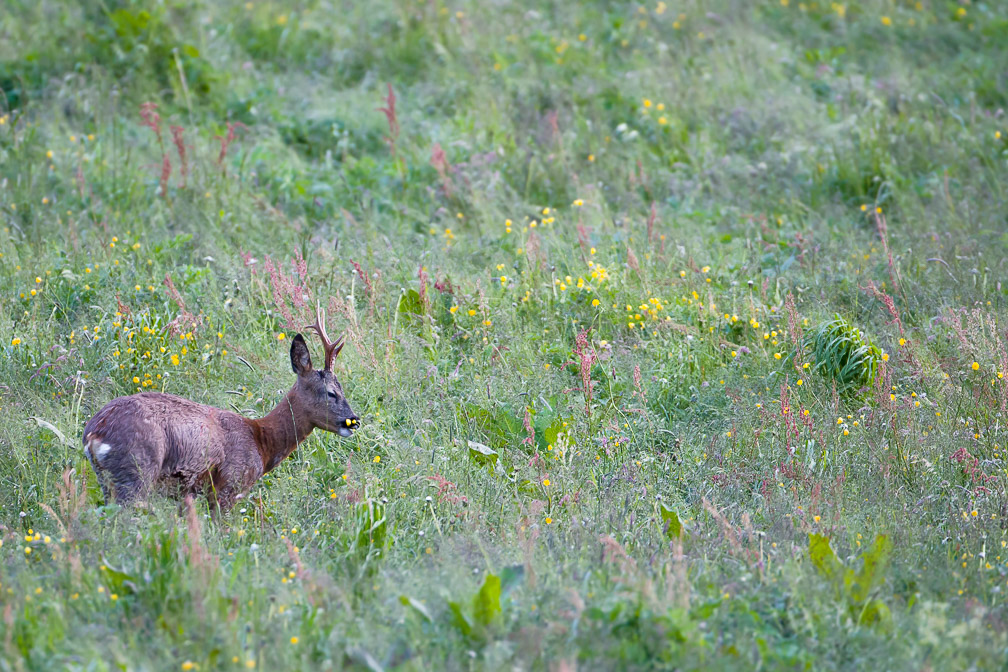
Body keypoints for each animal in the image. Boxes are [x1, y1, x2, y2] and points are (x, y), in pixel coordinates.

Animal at [83, 302, 358, 511]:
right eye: (331, 393)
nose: (354, 420)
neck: (261, 441)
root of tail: (93, 434)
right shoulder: (228, 486)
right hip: (137, 471)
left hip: (109, 481)